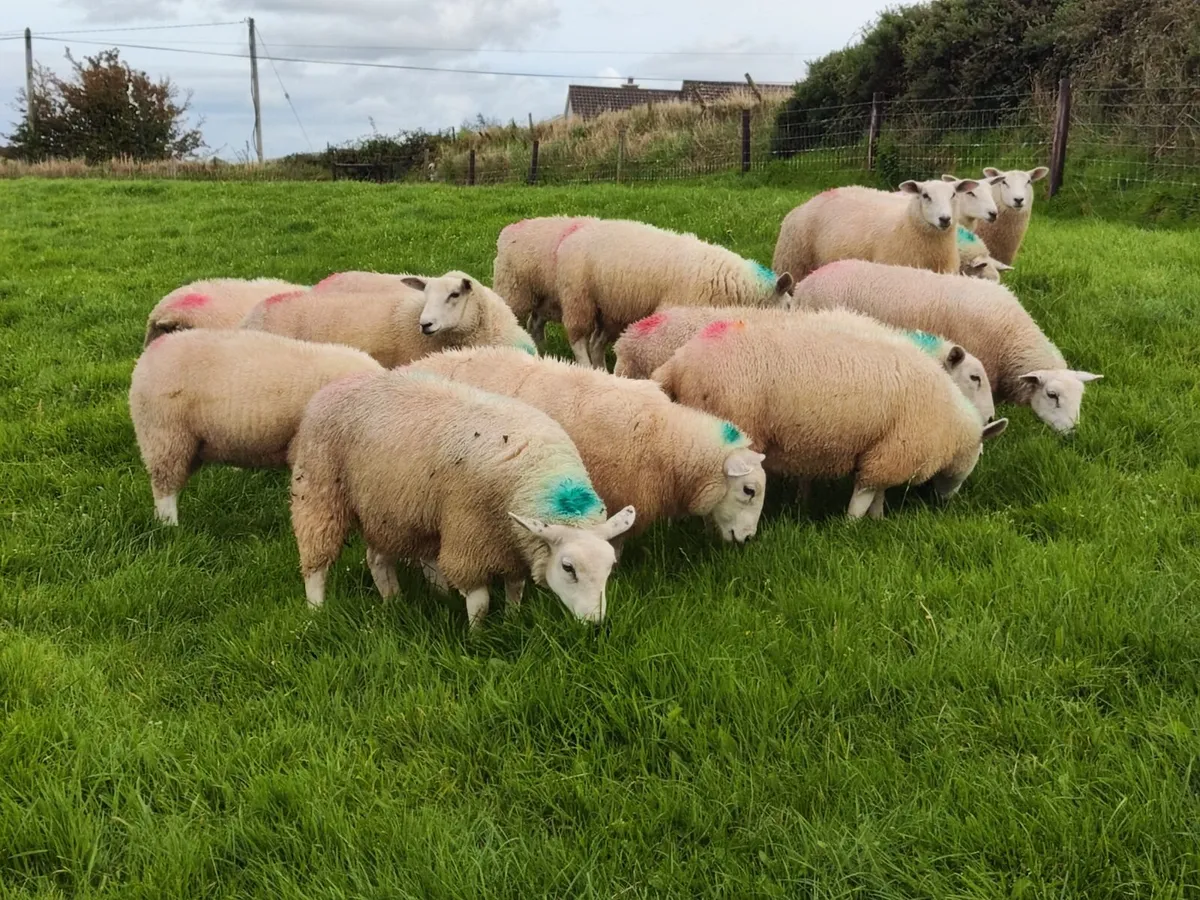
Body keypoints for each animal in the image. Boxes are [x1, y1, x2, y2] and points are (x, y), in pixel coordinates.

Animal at [288, 369, 636, 626]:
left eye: (610, 566)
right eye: (568, 568)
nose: (595, 624)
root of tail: (337, 383)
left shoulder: (510, 543)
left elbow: (515, 588)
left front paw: (512, 620)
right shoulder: (470, 534)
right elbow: (480, 601)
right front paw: (476, 637)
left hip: (389, 507)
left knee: (378, 559)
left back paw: (396, 601)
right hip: (320, 488)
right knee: (317, 559)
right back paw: (316, 612)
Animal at [548, 218, 794, 368]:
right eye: (789, 306)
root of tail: (572, 236)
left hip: (611, 310)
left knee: (596, 343)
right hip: (578, 298)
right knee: (578, 340)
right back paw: (586, 366)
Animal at [651, 316, 1009, 519]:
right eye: (974, 377)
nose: (945, 502)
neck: (949, 423)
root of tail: (679, 361)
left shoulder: (886, 451)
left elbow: (878, 493)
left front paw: (878, 520)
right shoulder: (896, 450)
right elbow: (862, 495)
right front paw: (852, 526)